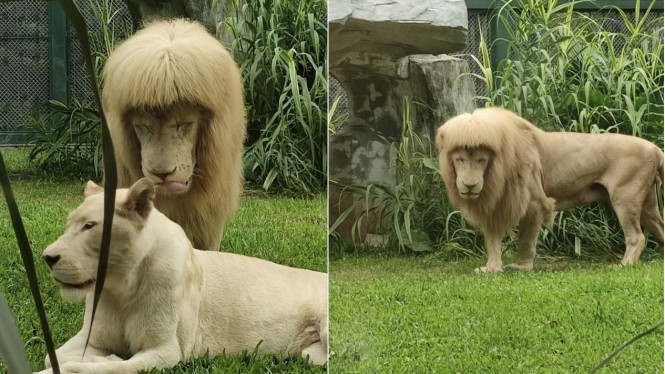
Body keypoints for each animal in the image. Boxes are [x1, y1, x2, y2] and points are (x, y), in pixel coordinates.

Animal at [36, 179, 326, 374]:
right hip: (308, 355)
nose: (47, 257)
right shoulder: (93, 338)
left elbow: (116, 368)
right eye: (69, 224)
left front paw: (99, 362)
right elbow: (51, 357)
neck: (120, 287)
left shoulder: (167, 350)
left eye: (89, 226)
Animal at [436, 106, 664, 274]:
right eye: (460, 160)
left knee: (637, 237)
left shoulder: (535, 204)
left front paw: (521, 267)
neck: (496, 171)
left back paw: (624, 264)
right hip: (648, 204)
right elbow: (492, 241)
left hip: (625, 198)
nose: (469, 185)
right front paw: (491, 269)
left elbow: (525, 240)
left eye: (481, 160)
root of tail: (655, 148)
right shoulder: (494, 206)